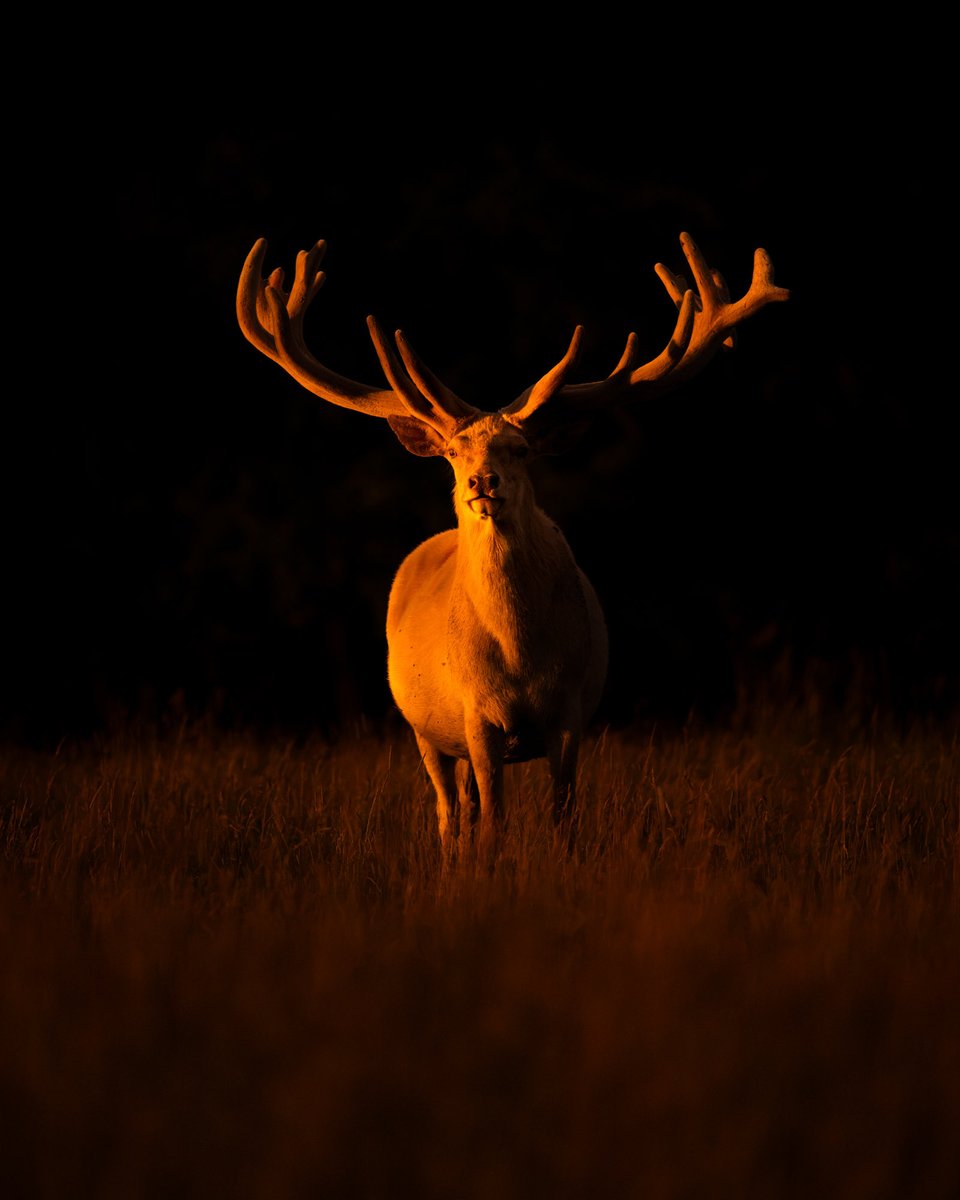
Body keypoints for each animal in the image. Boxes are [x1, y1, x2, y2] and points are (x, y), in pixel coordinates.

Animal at [236, 231, 789, 866]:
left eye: (521, 449)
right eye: (454, 452)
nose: (483, 481)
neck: (520, 660)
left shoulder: (570, 711)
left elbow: (563, 815)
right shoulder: (476, 716)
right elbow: (493, 821)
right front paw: (487, 870)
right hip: (424, 730)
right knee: (451, 811)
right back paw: (450, 862)